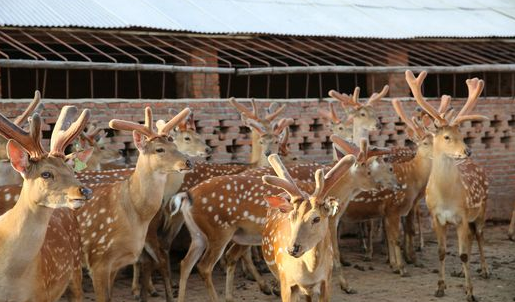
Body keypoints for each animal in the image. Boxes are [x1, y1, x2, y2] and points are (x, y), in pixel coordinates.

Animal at [408, 69, 488, 300]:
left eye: (461, 134)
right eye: (446, 136)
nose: (468, 151)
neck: (446, 197)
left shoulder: (462, 216)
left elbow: (462, 255)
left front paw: (470, 293)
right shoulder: (437, 217)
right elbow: (442, 252)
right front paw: (440, 287)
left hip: (482, 210)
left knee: (479, 236)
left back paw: (485, 270)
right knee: (471, 238)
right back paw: (463, 275)